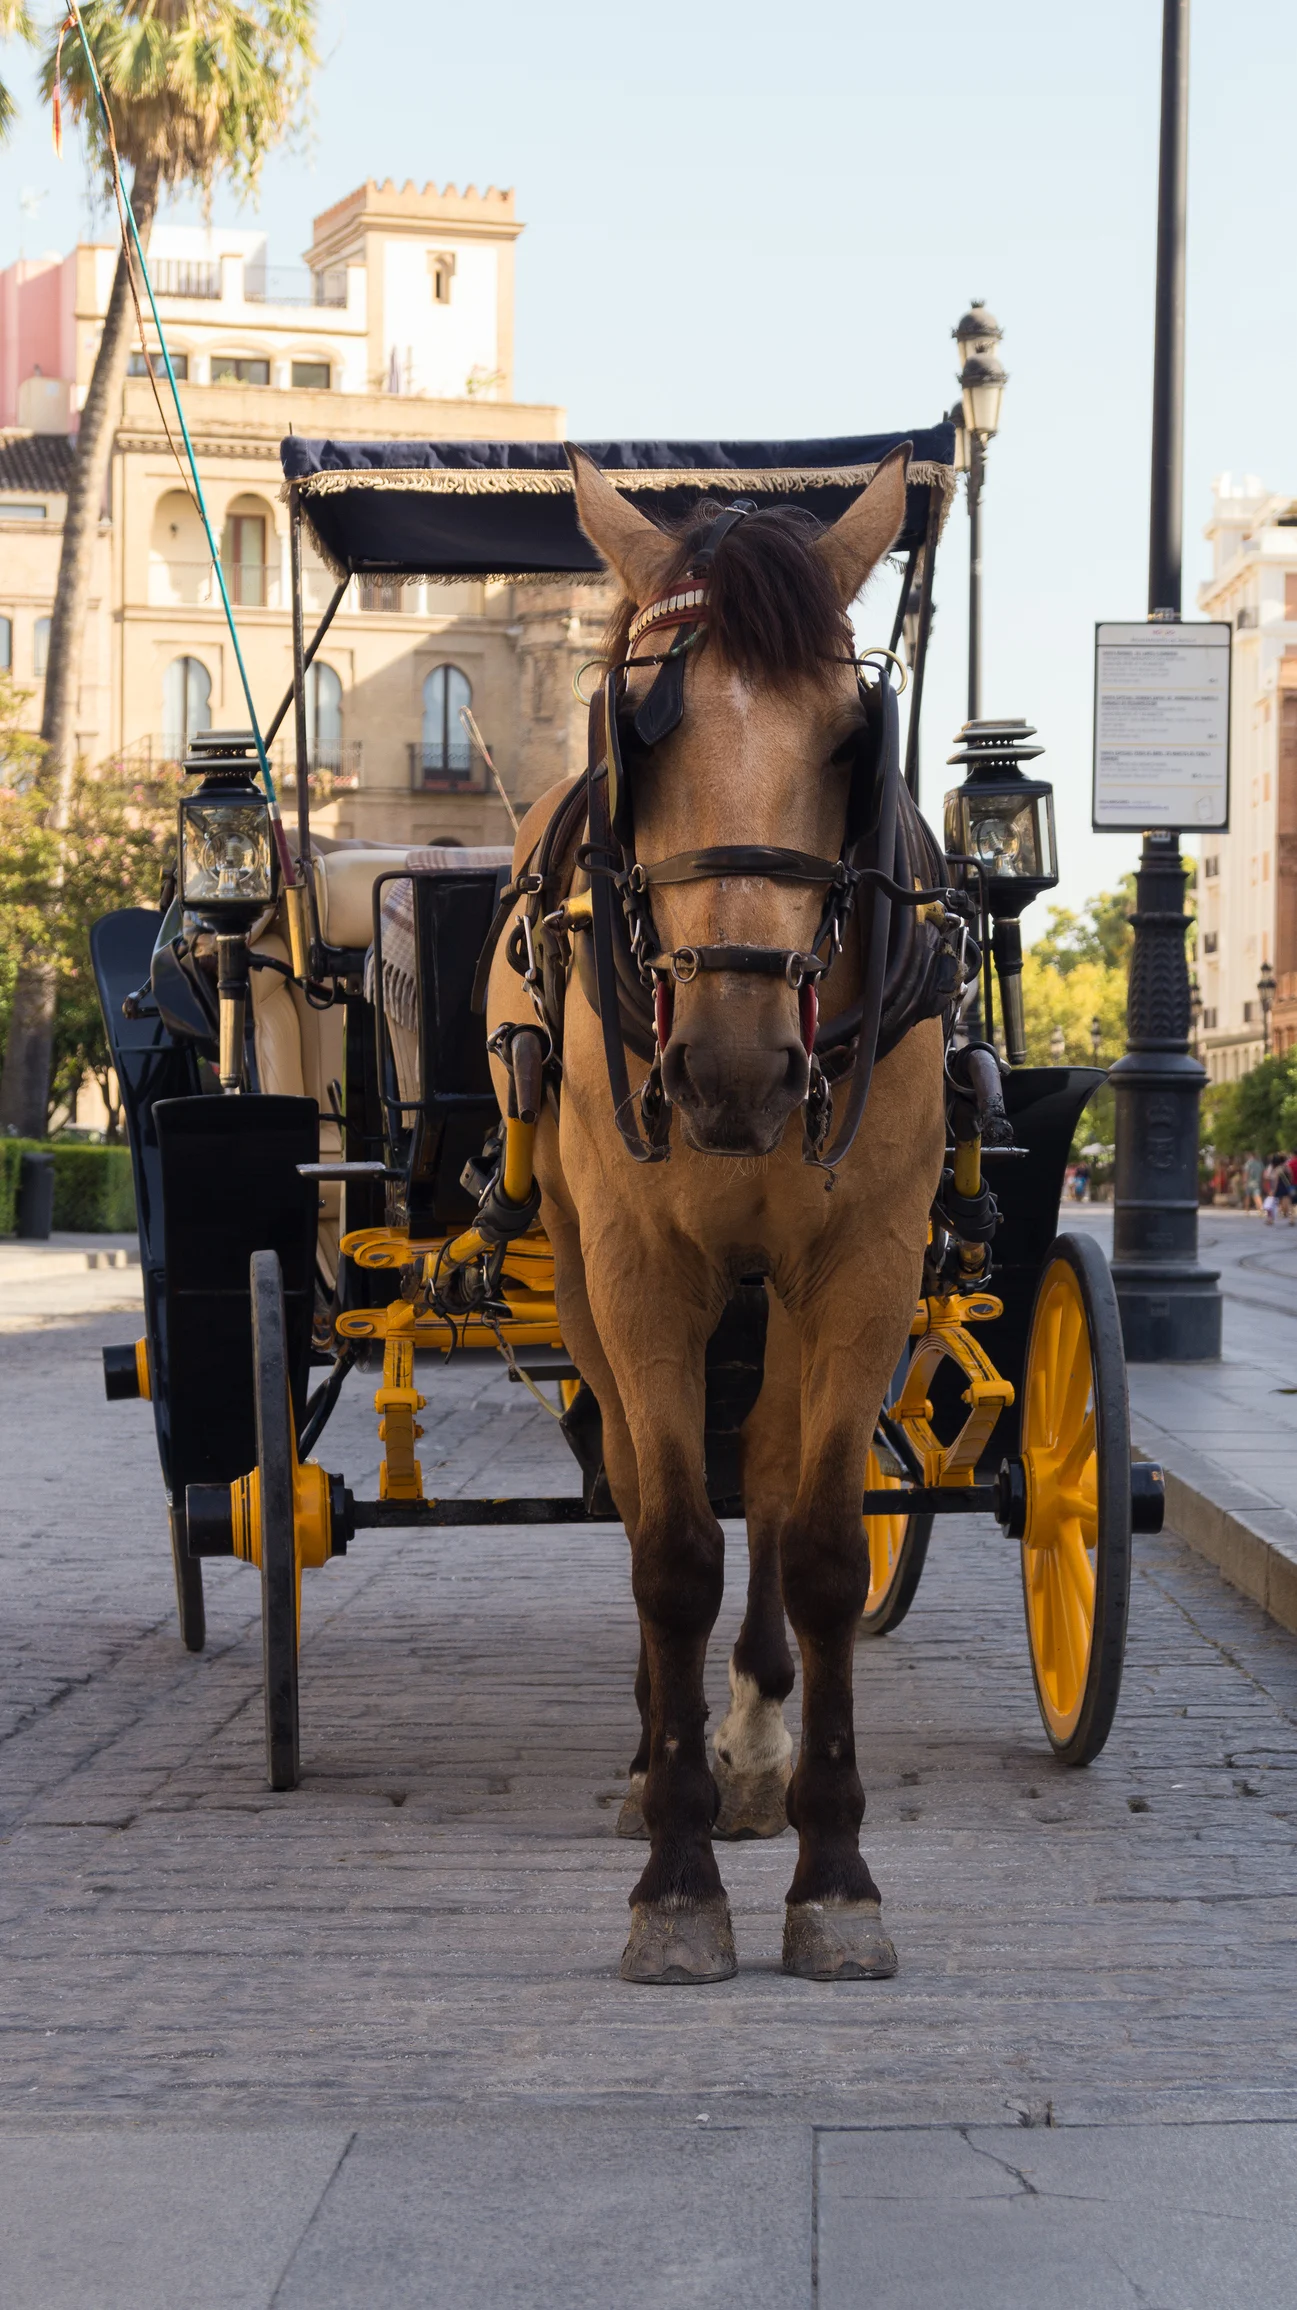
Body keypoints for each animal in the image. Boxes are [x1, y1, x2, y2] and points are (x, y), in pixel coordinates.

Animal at [485, 444, 949, 1985]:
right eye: (639, 731)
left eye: (850, 739)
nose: (736, 1067)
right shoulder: (642, 1274)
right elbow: (673, 1550)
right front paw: (677, 1877)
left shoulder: (864, 1267)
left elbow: (817, 1545)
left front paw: (835, 1872)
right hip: (585, 1274)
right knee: (644, 1484)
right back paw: (662, 1754)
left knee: (772, 1473)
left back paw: (750, 1740)